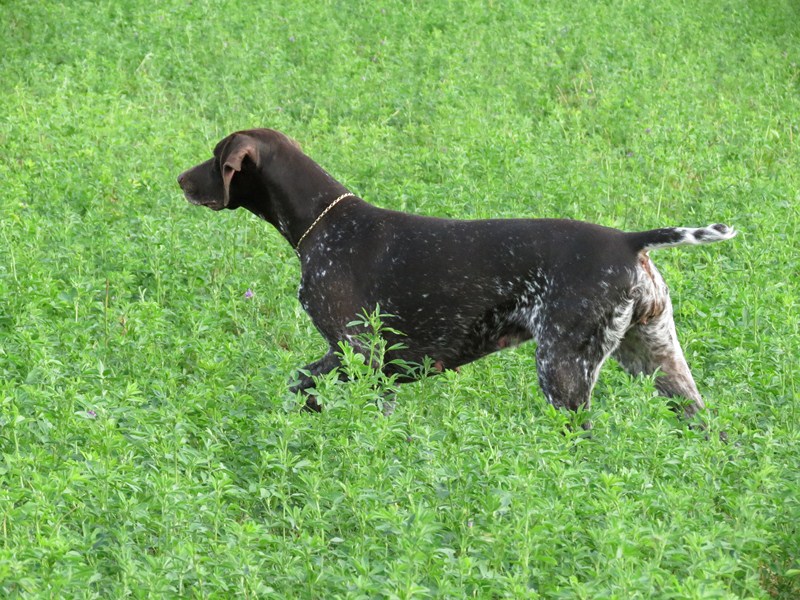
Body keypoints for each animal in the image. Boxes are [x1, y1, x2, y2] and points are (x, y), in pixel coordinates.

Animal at [177, 127, 736, 426]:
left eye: (216, 156)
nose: (180, 178)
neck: (325, 222)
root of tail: (629, 242)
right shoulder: (356, 361)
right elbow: (301, 385)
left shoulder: (359, 355)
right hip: (660, 364)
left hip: (563, 371)